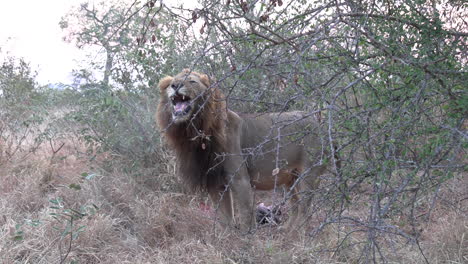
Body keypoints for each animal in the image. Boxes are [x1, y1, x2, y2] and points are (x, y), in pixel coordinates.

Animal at [155, 69, 328, 232]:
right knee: (296, 205)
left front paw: (247, 239)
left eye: (192, 81)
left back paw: (297, 234)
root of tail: (317, 122)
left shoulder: (240, 179)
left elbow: (245, 214)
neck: (196, 131)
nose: (176, 86)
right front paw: (226, 239)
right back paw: (287, 230)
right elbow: (224, 218)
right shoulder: (215, 182)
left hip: (308, 174)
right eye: (172, 83)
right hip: (290, 178)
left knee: (305, 209)